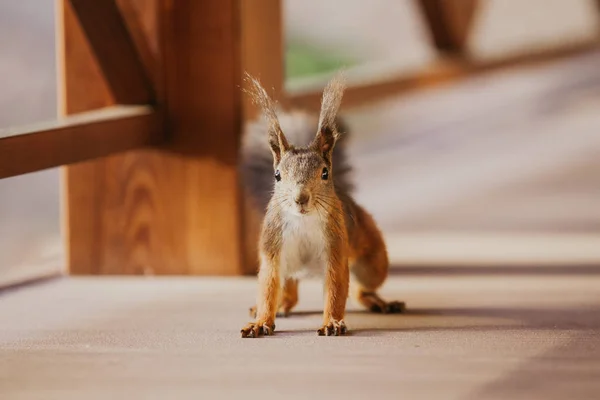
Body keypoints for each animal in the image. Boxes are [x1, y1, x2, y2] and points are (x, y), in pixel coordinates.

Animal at [239, 72, 404, 338]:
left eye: (324, 173)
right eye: (277, 175)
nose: (300, 198)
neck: (303, 220)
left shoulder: (335, 247)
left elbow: (337, 289)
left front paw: (332, 322)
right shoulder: (272, 248)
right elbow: (268, 285)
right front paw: (260, 321)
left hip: (373, 265)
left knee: (361, 288)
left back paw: (381, 302)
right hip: (290, 265)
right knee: (289, 287)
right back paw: (281, 303)